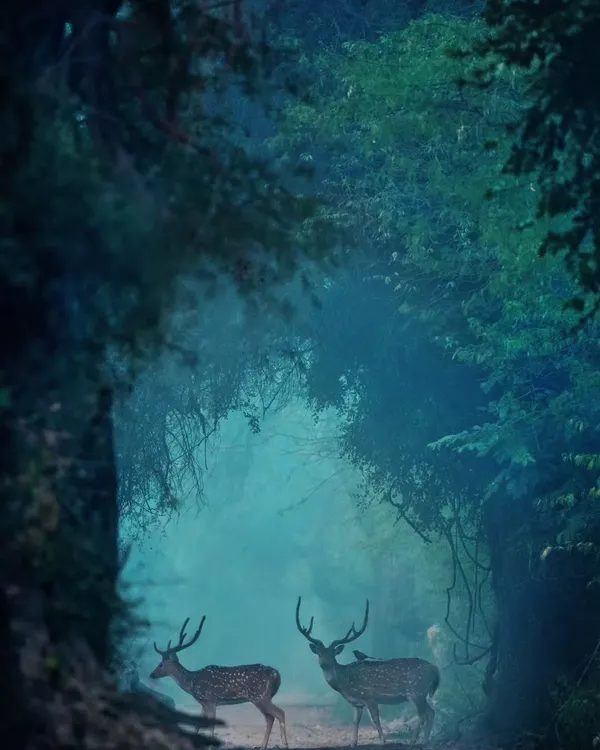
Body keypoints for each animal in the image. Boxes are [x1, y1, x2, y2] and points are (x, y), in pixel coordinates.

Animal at [150, 615, 289, 749]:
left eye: (161, 664)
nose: (152, 674)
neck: (193, 683)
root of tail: (276, 673)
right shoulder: (204, 703)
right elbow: (197, 725)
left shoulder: (211, 700)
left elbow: (211, 726)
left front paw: (211, 746)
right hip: (260, 698)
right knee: (270, 718)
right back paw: (262, 746)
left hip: (260, 696)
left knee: (280, 713)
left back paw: (285, 744)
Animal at [295, 596, 440, 747]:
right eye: (319, 653)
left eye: (333, 654)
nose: (324, 664)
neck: (345, 684)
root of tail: (436, 671)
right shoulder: (357, 704)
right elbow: (355, 721)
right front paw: (353, 743)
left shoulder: (370, 696)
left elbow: (375, 719)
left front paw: (383, 741)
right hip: (421, 693)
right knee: (431, 712)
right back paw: (426, 741)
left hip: (416, 691)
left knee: (424, 713)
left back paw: (413, 741)